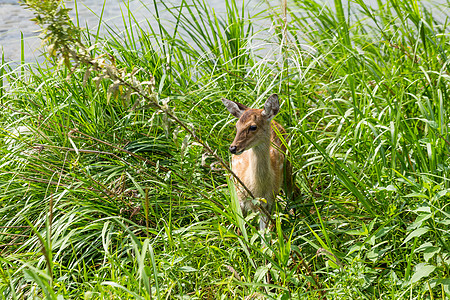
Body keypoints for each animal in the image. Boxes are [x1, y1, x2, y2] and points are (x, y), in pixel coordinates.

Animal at [221, 94, 292, 230]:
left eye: (253, 127)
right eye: (236, 126)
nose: (233, 148)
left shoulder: (268, 203)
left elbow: (264, 234)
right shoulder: (240, 197)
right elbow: (240, 230)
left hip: (288, 168)